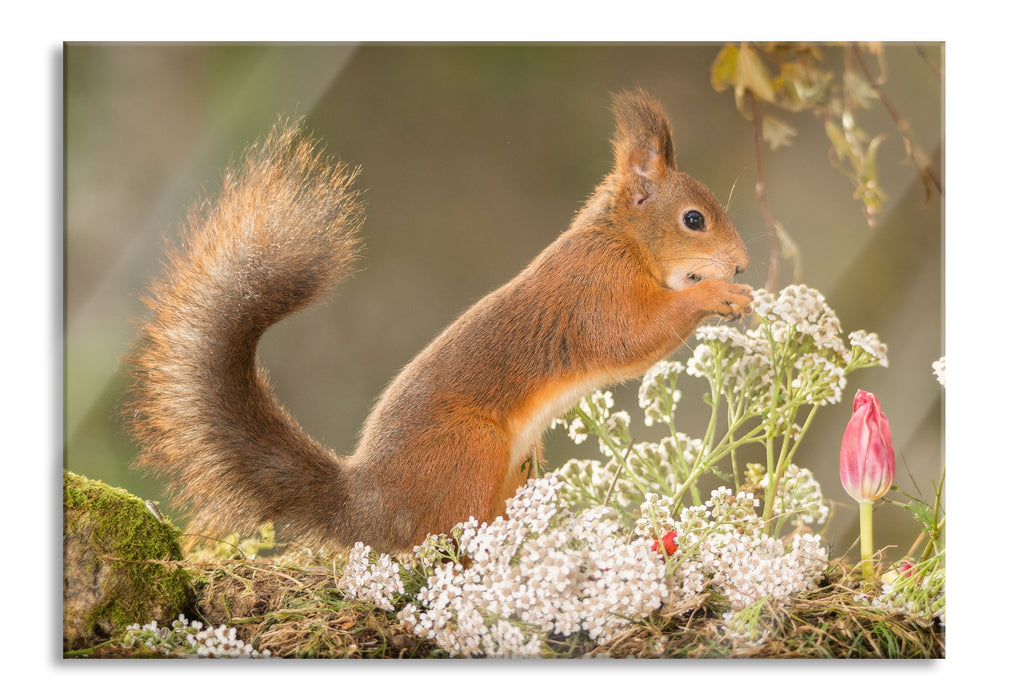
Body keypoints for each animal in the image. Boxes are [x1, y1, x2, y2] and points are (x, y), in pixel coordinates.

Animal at [124, 90, 750, 556]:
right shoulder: (597, 291)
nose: (743, 263)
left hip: (518, 464)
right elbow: (630, 338)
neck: (621, 239)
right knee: (452, 539)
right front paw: (717, 294)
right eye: (694, 220)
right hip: (469, 452)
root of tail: (367, 506)